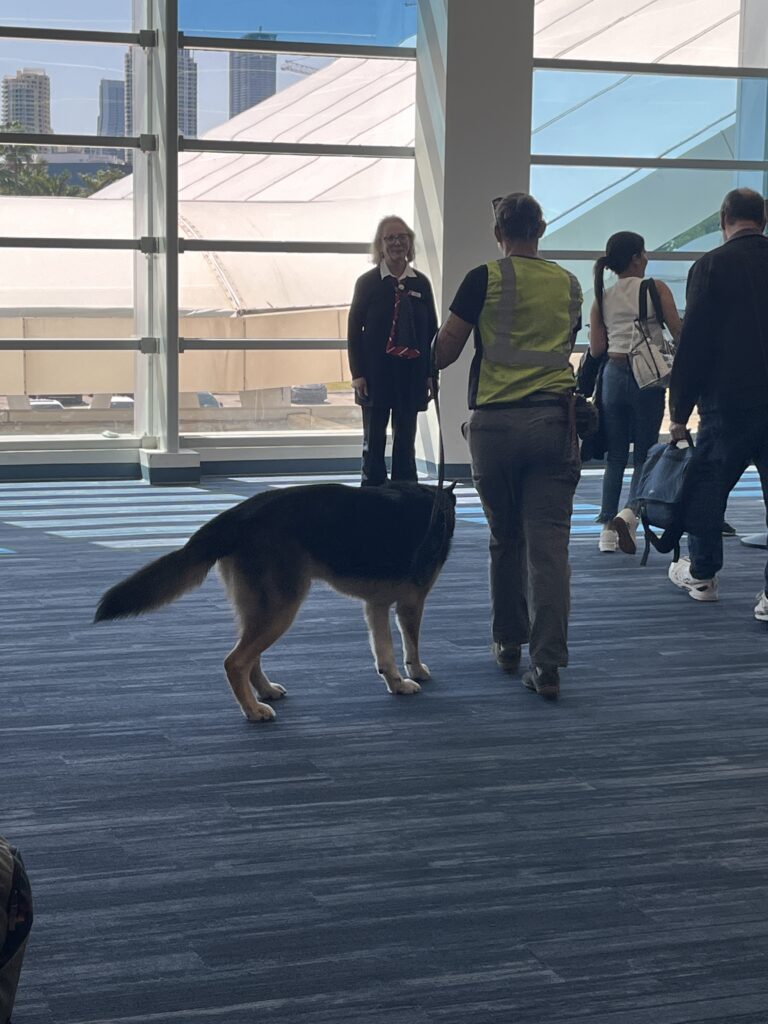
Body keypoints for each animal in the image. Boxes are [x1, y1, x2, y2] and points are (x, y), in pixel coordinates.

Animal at [95, 483, 456, 724]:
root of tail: (236, 515)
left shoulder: (376, 606)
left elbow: (384, 653)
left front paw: (395, 683)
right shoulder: (411, 603)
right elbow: (411, 645)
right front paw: (416, 671)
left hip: (261, 608)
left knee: (249, 658)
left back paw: (265, 692)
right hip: (281, 608)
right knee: (235, 661)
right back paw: (253, 710)